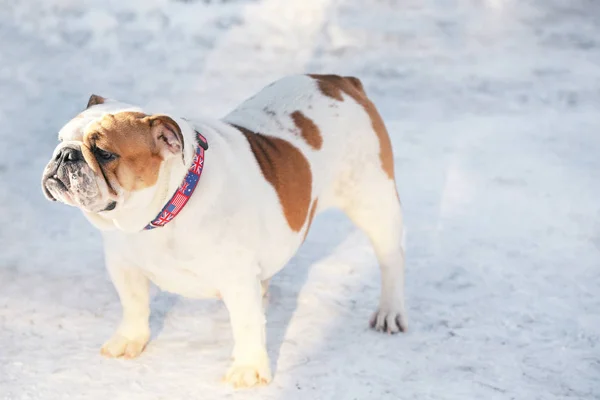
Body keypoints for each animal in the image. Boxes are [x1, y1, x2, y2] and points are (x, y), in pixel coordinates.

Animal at [41, 74, 408, 388]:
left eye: (104, 153)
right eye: (59, 139)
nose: (64, 155)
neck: (162, 212)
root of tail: (339, 81)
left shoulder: (236, 279)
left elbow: (245, 326)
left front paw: (248, 371)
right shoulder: (124, 265)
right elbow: (133, 305)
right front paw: (129, 341)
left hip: (373, 201)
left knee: (391, 260)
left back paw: (389, 312)